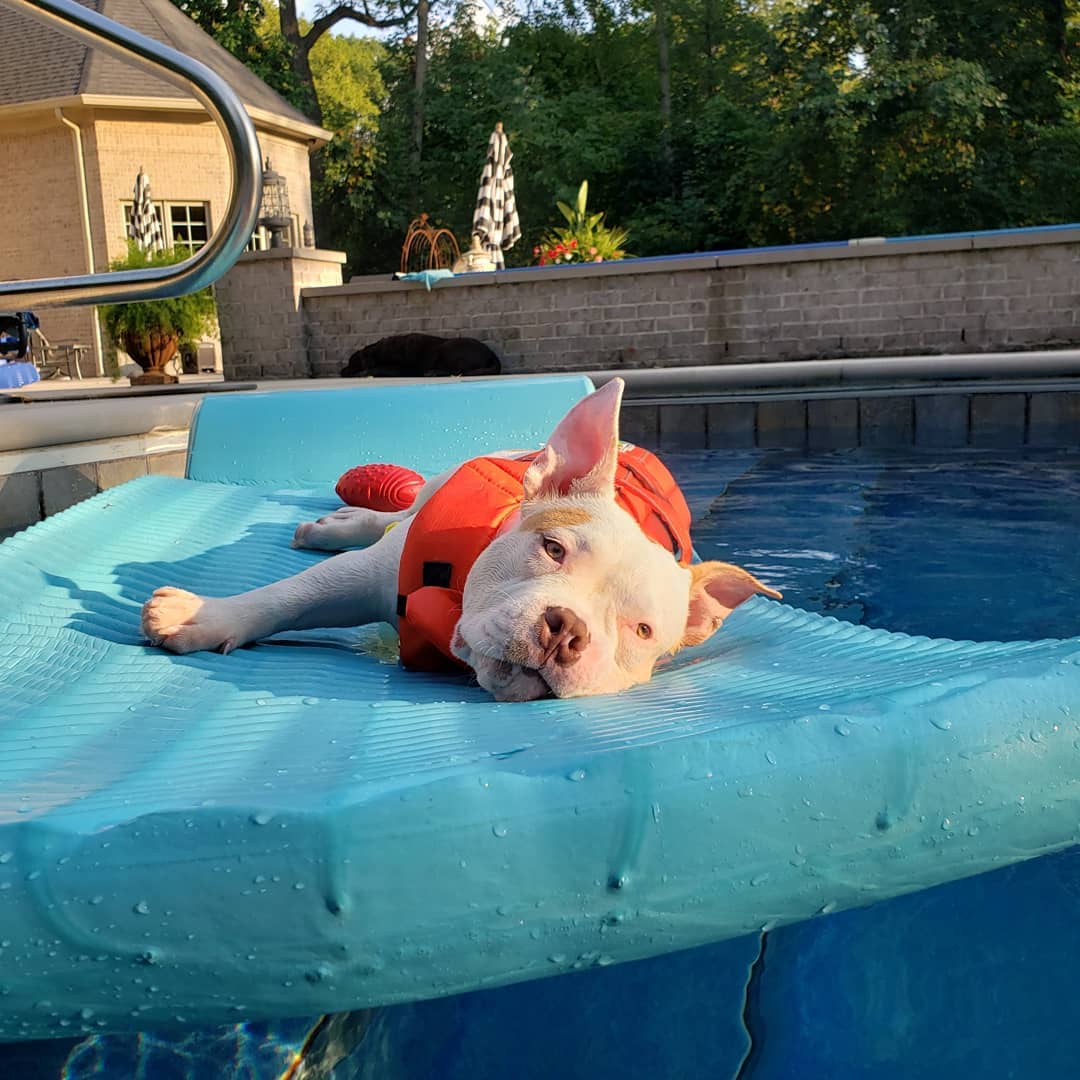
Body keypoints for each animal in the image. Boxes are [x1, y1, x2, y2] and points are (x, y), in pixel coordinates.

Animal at [145, 378, 786, 699]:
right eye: (552, 548)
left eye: (644, 631)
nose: (567, 630)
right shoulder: (370, 575)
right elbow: (294, 594)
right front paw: (202, 616)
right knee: (395, 515)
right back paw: (338, 525)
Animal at [341, 334, 501, 378]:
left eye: (351, 363)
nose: (341, 371)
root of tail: (490, 352)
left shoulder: (400, 368)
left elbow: (378, 369)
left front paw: (363, 373)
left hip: (447, 348)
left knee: (456, 371)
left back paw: (433, 372)